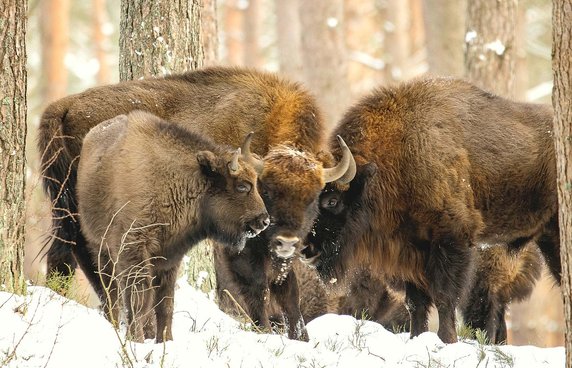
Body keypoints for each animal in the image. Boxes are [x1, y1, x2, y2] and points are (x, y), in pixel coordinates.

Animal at [76, 110, 270, 342]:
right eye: (242, 186)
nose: (264, 220)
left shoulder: (169, 258)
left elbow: (165, 304)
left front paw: (165, 340)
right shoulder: (134, 250)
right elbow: (140, 300)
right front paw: (136, 340)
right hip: (101, 250)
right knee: (111, 294)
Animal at [302, 76, 560, 344]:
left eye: (332, 200)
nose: (305, 250)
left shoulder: (451, 240)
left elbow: (444, 298)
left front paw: (447, 340)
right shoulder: (408, 252)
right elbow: (416, 303)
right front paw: (417, 338)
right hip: (547, 238)